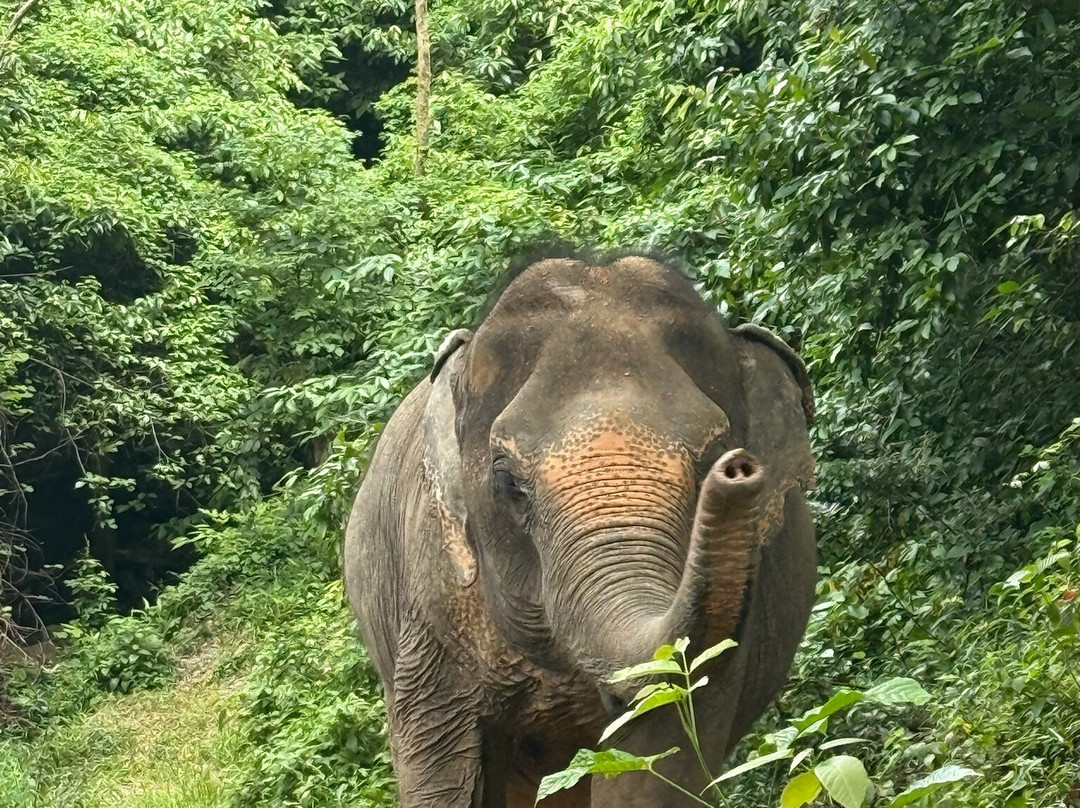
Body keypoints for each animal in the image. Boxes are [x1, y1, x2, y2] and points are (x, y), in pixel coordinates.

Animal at [344, 254, 817, 808]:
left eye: (712, 458)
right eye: (507, 482)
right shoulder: (431, 613)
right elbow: (442, 775)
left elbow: (658, 754)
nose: (737, 469)